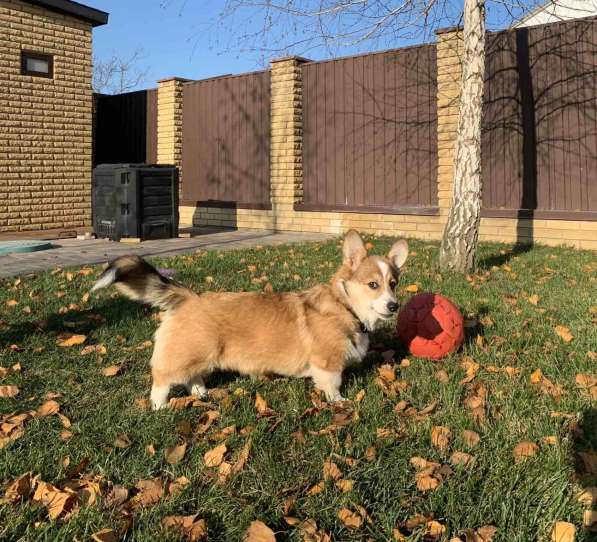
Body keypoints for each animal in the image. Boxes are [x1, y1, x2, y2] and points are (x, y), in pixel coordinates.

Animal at [92, 232, 410, 410]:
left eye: (393, 283)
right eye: (373, 285)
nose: (394, 306)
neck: (345, 305)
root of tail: (189, 296)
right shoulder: (327, 362)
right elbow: (332, 384)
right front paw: (340, 403)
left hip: (203, 355)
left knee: (194, 377)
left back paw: (203, 394)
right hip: (185, 353)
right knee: (163, 379)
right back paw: (160, 407)